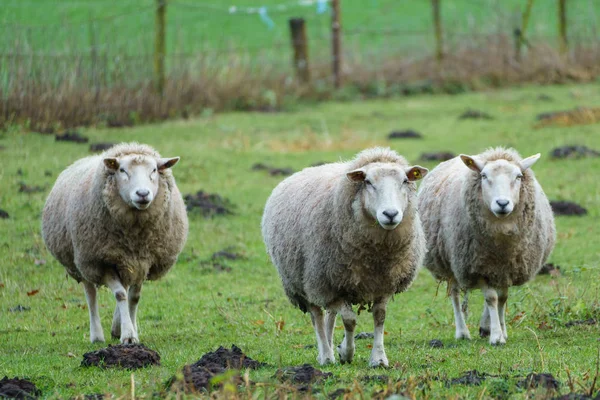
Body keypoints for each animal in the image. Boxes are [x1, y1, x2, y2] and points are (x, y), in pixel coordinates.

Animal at [41, 143, 188, 344]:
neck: (135, 236)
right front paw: (128, 335)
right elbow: (120, 294)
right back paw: (97, 335)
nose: (143, 194)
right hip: (84, 262)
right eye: (122, 170)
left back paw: (116, 327)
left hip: (121, 261)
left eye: (154, 170)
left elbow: (134, 297)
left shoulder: (142, 261)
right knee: (91, 294)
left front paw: (129, 330)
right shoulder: (103, 262)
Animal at [262, 147, 426, 366]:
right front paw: (346, 353)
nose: (390, 214)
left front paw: (378, 358)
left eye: (405, 181)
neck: (376, 256)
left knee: (330, 316)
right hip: (308, 282)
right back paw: (326, 355)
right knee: (317, 316)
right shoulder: (329, 285)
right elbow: (349, 320)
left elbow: (379, 317)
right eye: (368, 182)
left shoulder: (384, 283)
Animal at [420, 147, 556, 344]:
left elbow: (502, 298)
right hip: (453, 264)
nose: (502, 203)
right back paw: (463, 332)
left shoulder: (506, 268)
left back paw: (485, 326)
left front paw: (501, 330)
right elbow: (491, 298)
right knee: (455, 294)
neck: (501, 242)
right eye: (484, 176)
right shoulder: (479, 267)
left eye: (518, 176)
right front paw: (497, 337)